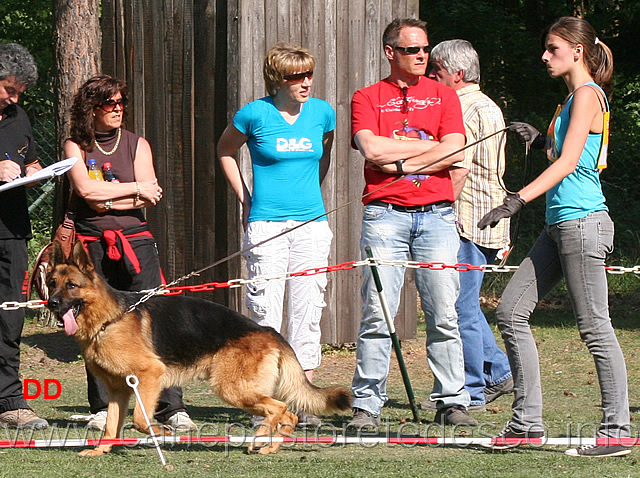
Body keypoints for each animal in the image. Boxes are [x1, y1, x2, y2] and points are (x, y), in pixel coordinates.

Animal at [47, 241, 352, 458]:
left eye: (71, 286)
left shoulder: (150, 375)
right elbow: (111, 424)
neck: (109, 318)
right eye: (51, 284)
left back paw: (262, 439)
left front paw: (159, 430)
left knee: (281, 407)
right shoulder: (118, 390)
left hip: (232, 388)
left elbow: (139, 419)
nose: (51, 303)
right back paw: (268, 444)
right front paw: (101, 450)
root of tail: (269, 331)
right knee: (286, 413)